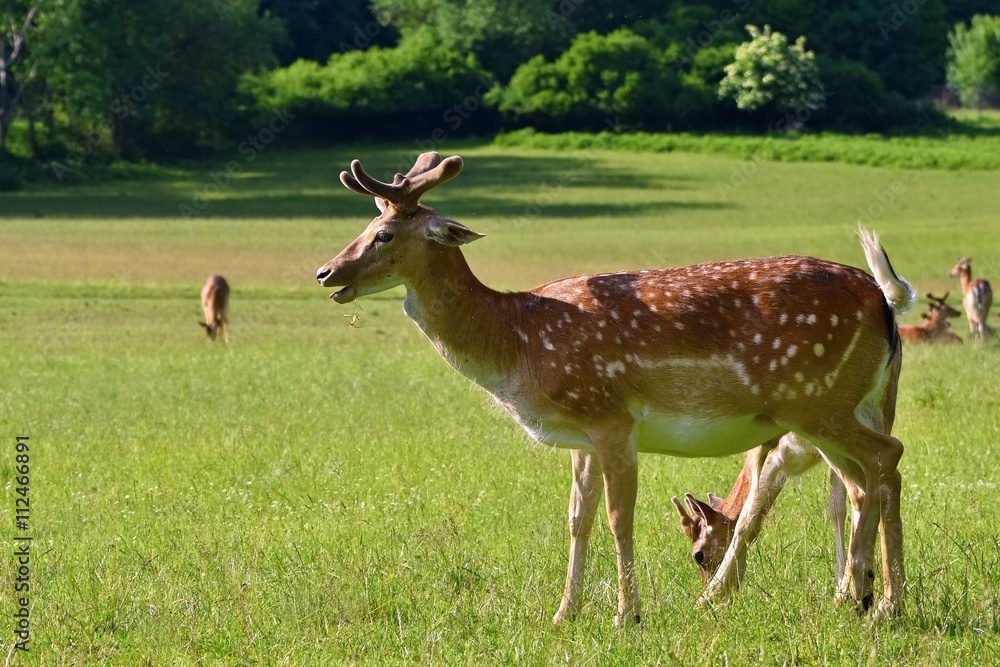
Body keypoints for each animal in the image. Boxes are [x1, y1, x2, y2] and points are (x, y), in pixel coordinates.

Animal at [315, 151, 915, 623]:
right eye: (362, 227)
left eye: (384, 233)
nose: (325, 273)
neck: (517, 342)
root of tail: (885, 304)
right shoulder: (580, 436)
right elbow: (576, 520)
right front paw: (564, 613)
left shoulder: (612, 417)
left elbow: (618, 518)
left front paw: (628, 616)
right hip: (841, 407)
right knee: (865, 479)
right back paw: (875, 599)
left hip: (817, 401)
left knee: (884, 460)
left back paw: (872, 600)